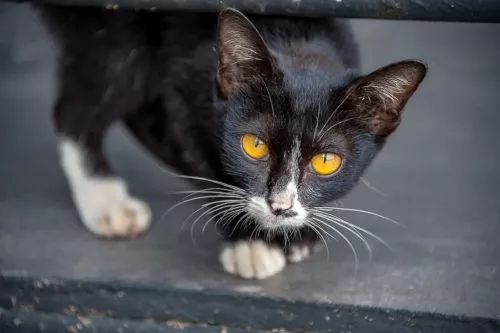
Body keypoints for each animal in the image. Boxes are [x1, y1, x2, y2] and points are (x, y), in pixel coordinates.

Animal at [38, 6, 426, 278]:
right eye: (255, 145)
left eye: (326, 161)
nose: (280, 206)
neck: (295, 35)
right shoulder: (185, 73)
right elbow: (197, 148)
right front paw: (250, 242)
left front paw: (294, 236)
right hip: (114, 28)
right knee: (87, 97)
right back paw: (105, 200)